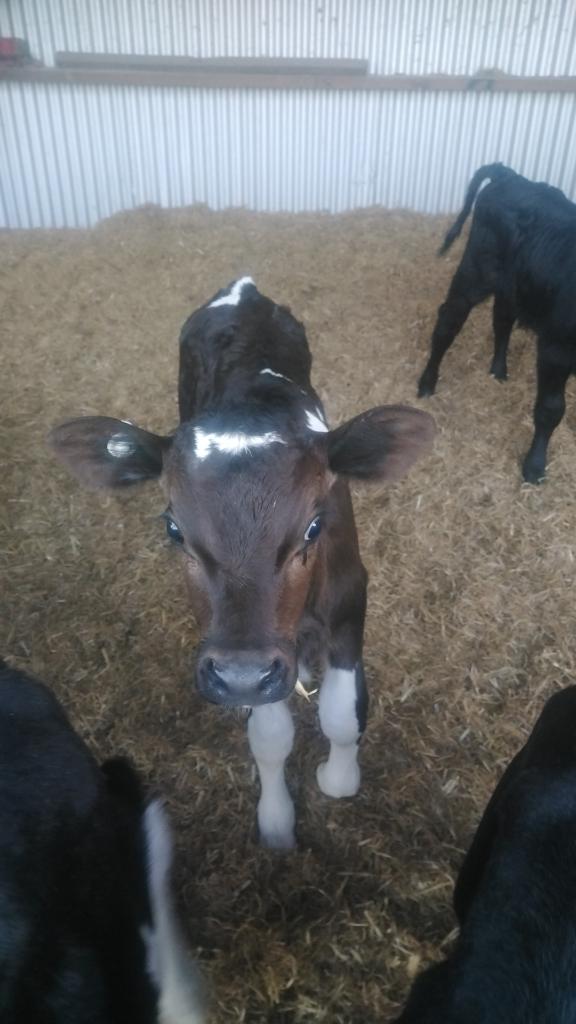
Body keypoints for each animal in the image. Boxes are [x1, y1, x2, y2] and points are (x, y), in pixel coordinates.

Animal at [49, 278, 435, 849]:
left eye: (314, 526)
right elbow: (271, 736)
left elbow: (341, 716)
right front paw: (276, 818)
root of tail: (242, 287)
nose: (241, 678)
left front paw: (339, 777)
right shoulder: (245, 656)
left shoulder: (348, 596)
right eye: (174, 529)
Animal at [417, 163, 576, 483]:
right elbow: (551, 409)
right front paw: (534, 466)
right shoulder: (556, 347)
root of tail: (511, 175)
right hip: (475, 272)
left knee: (501, 319)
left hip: (511, 286)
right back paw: (427, 383)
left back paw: (498, 370)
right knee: (449, 321)